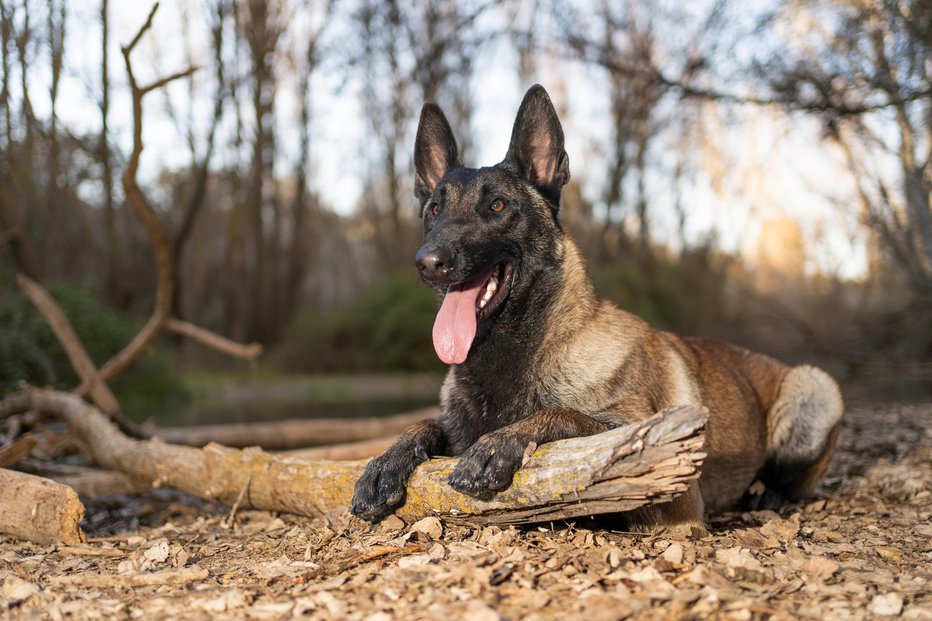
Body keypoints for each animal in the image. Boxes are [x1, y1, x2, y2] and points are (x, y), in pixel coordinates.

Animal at [352, 82, 844, 528]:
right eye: (434, 210)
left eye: (497, 206)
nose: (428, 262)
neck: (516, 354)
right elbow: (426, 424)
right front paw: (388, 459)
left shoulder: (668, 482)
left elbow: (567, 415)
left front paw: (500, 443)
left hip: (814, 390)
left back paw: (768, 496)